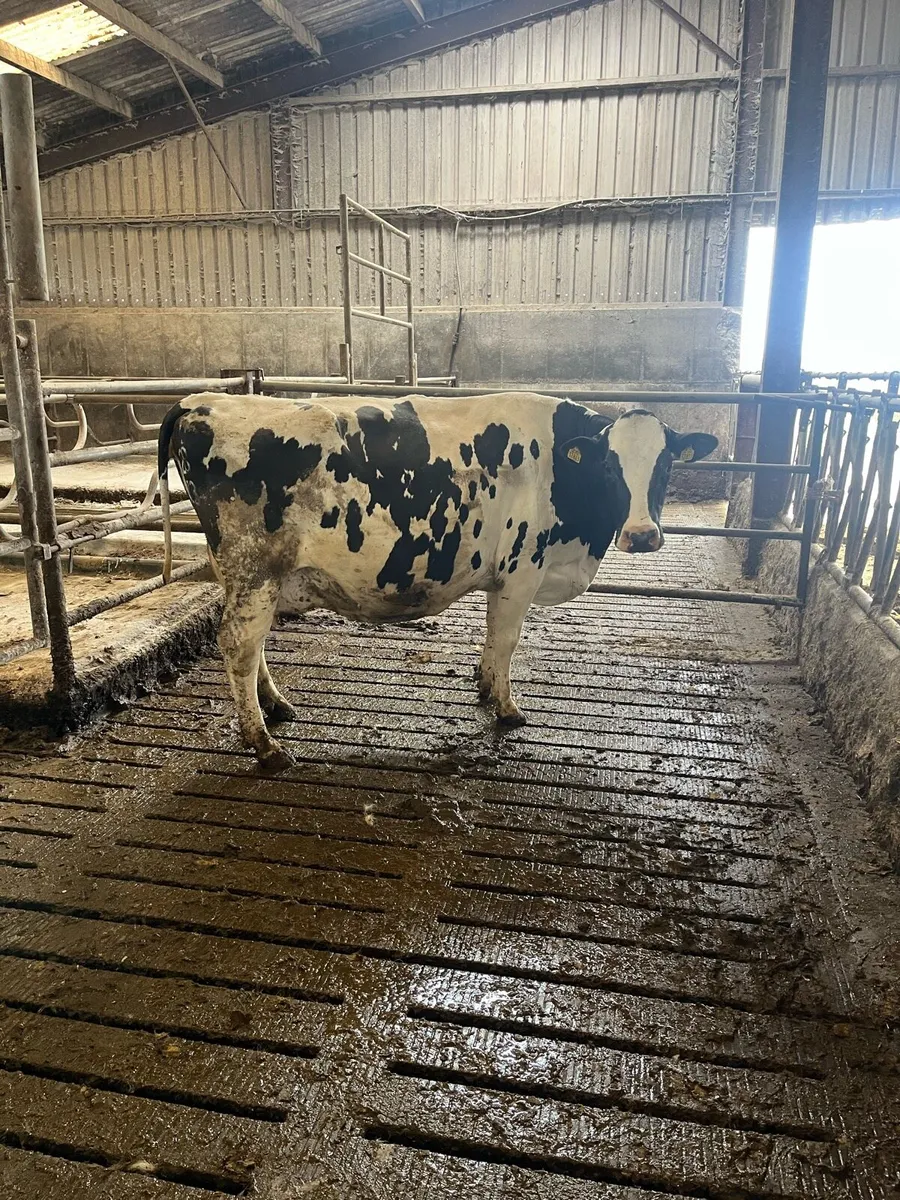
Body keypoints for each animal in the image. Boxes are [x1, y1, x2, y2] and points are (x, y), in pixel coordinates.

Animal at [158, 392, 717, 770]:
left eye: (666, 464)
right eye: (609, 466)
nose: (642, 535)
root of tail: (200, 402)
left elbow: (492, 641)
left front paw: (485, 686)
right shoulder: (522, 568)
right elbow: (507, 640)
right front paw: (507, 709)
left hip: (250, 575)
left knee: (251, 645)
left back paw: (276, 707)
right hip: (253, 566)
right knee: (239, 644)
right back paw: (264, 744)